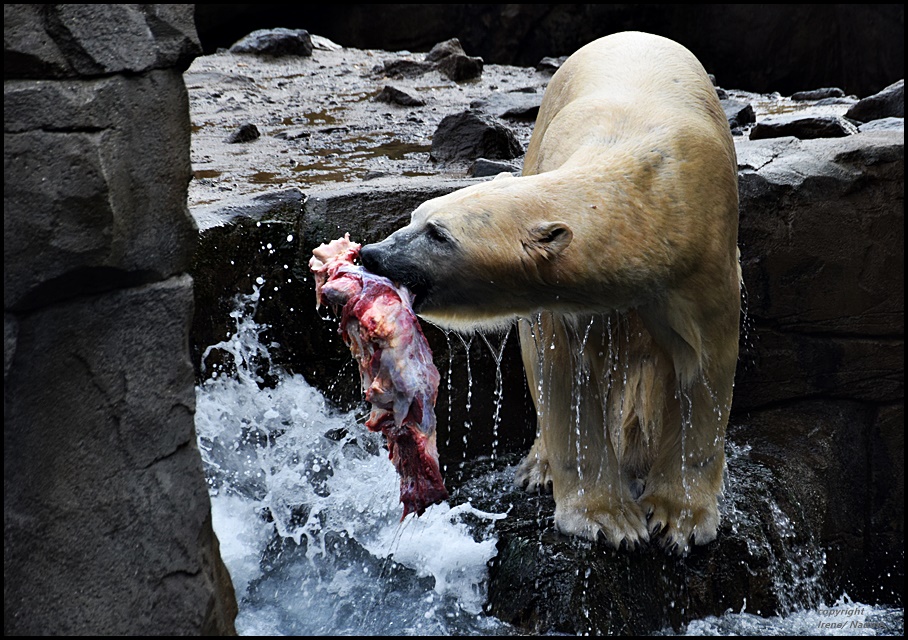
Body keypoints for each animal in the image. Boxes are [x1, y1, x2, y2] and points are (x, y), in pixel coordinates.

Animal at [358, 30, 740, 552]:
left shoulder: (705, 257)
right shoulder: (563, 302)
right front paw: (608, 520)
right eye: (416, 216)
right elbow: (563, 371)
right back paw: (539, 467)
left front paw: (677, 518)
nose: (372, 253)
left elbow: (703, 369)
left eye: (438, 233)